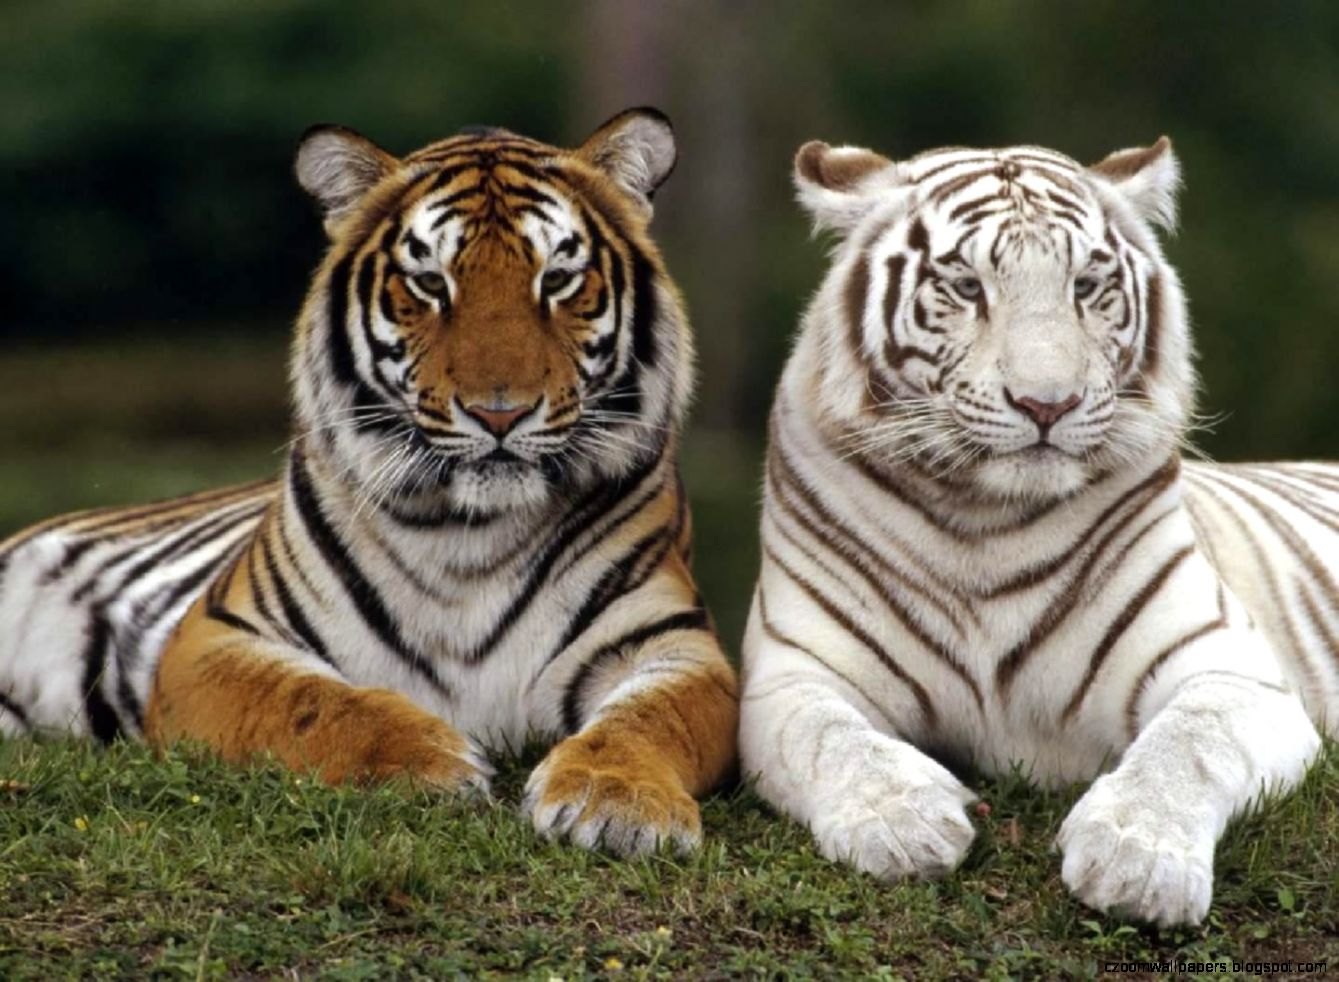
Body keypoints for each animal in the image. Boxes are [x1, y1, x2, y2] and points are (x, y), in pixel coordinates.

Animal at [0, 108, 738, 857]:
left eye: (557, 278)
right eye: (431, 283)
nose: (499, 413)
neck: (471, 533)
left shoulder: (673, 644)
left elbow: (651, 719)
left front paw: (618, 801)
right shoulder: (216, 639)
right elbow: (311, 702)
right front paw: (430, 760)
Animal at [739, 135, 1335, 926]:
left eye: (1086, 286)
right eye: (965, 286)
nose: (1047, 404)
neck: (984, 522)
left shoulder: (1232, 670)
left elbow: (1188, 742)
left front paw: (1136, 859)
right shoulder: (793, 674)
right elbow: (830, 738)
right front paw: (902, 822)